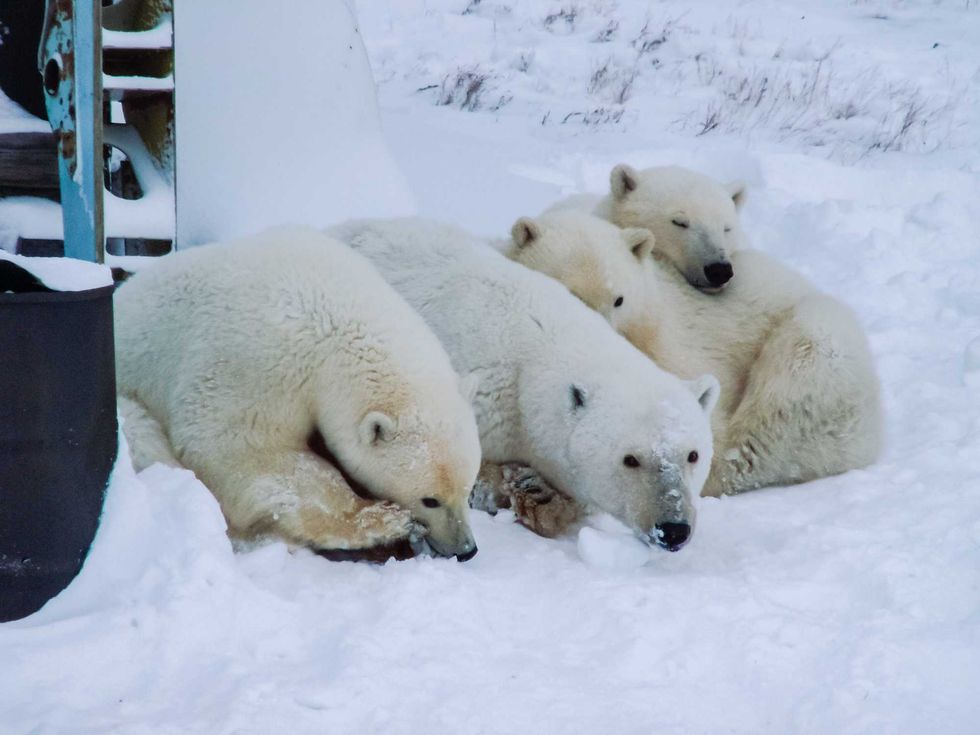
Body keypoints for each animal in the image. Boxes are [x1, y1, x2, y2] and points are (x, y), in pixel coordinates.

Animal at [114, 225, 482, 560]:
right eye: (430, 500)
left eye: (468, 490)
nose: (466, 549)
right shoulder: (256, 363)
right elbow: (240, 447)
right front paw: (380, 519)